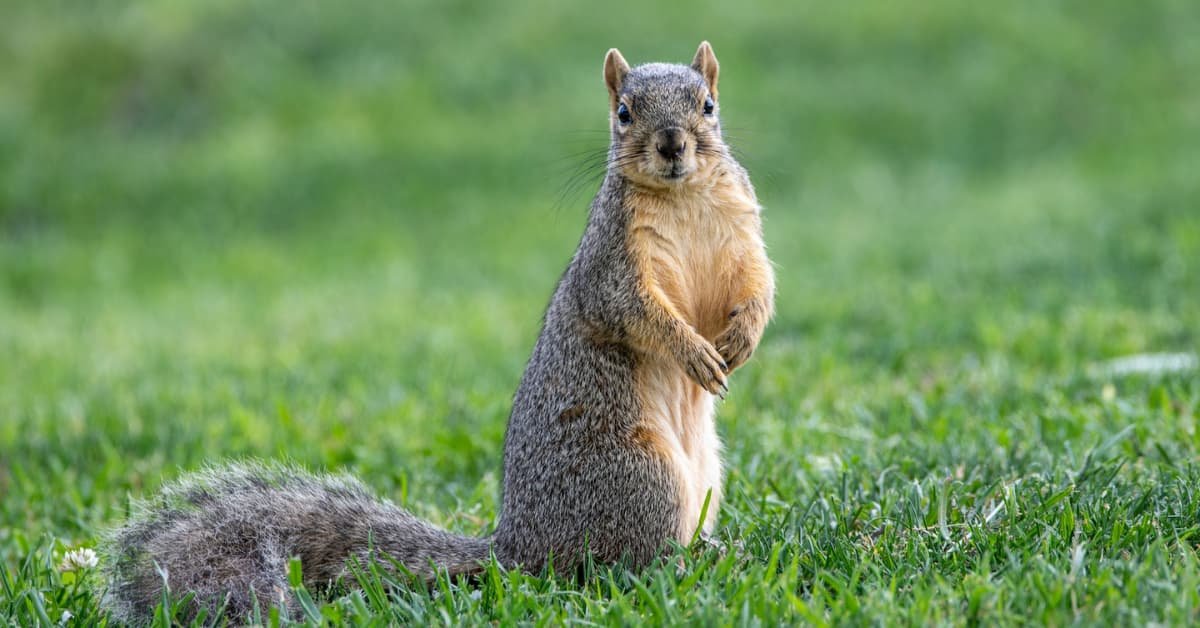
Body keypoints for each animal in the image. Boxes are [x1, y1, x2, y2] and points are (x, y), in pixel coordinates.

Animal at [105, 41, 777, 624]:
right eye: (623, 112)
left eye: (708, 105)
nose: (671, 145)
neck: (682, 197)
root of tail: (519, 550)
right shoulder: (612, 264)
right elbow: (637, 312)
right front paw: (693, 351)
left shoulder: (743, 235)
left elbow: (758, 285)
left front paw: (741, 339)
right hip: (639, 477)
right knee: (631, 564)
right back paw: (695, 560)